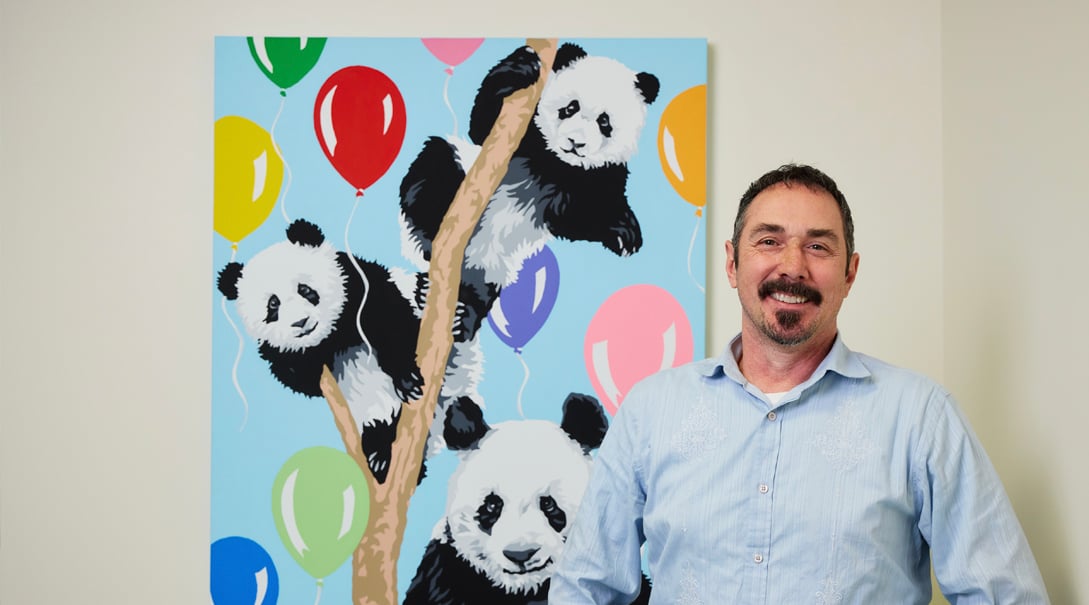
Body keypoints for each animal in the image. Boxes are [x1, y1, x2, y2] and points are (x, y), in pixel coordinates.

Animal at [216, 219, 481, 485]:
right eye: (273, 304)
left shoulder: (360, 286)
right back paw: (381, 457)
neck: (332, 335)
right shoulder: (284, 355)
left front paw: (407, 379)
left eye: (305, 290)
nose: (301, 322)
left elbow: (392, 324)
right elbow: (301, 379)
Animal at [398, 43, 657, 339]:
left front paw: (626, 234)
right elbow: (482, 122)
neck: (557, 163)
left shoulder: (598, 176)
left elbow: (581, 215)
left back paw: (461, 316)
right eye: (570, 107)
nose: (575, 143)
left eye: (605, 121)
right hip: (456, 174)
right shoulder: (522, 134)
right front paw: (526, 64)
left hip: (492, 266)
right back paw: (430, 241)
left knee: (480, 292)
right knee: (433, 171)